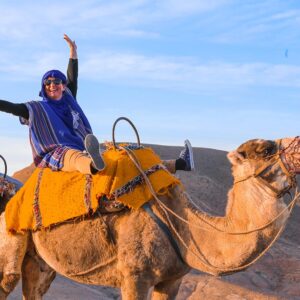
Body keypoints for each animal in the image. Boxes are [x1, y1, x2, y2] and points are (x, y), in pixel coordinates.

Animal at [0, 137, 298, 298]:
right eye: (266, 150)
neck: (184, 226)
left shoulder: (172, 280)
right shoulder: (134, 276)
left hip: (40, 261)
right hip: (10, 234)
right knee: (8, 279)